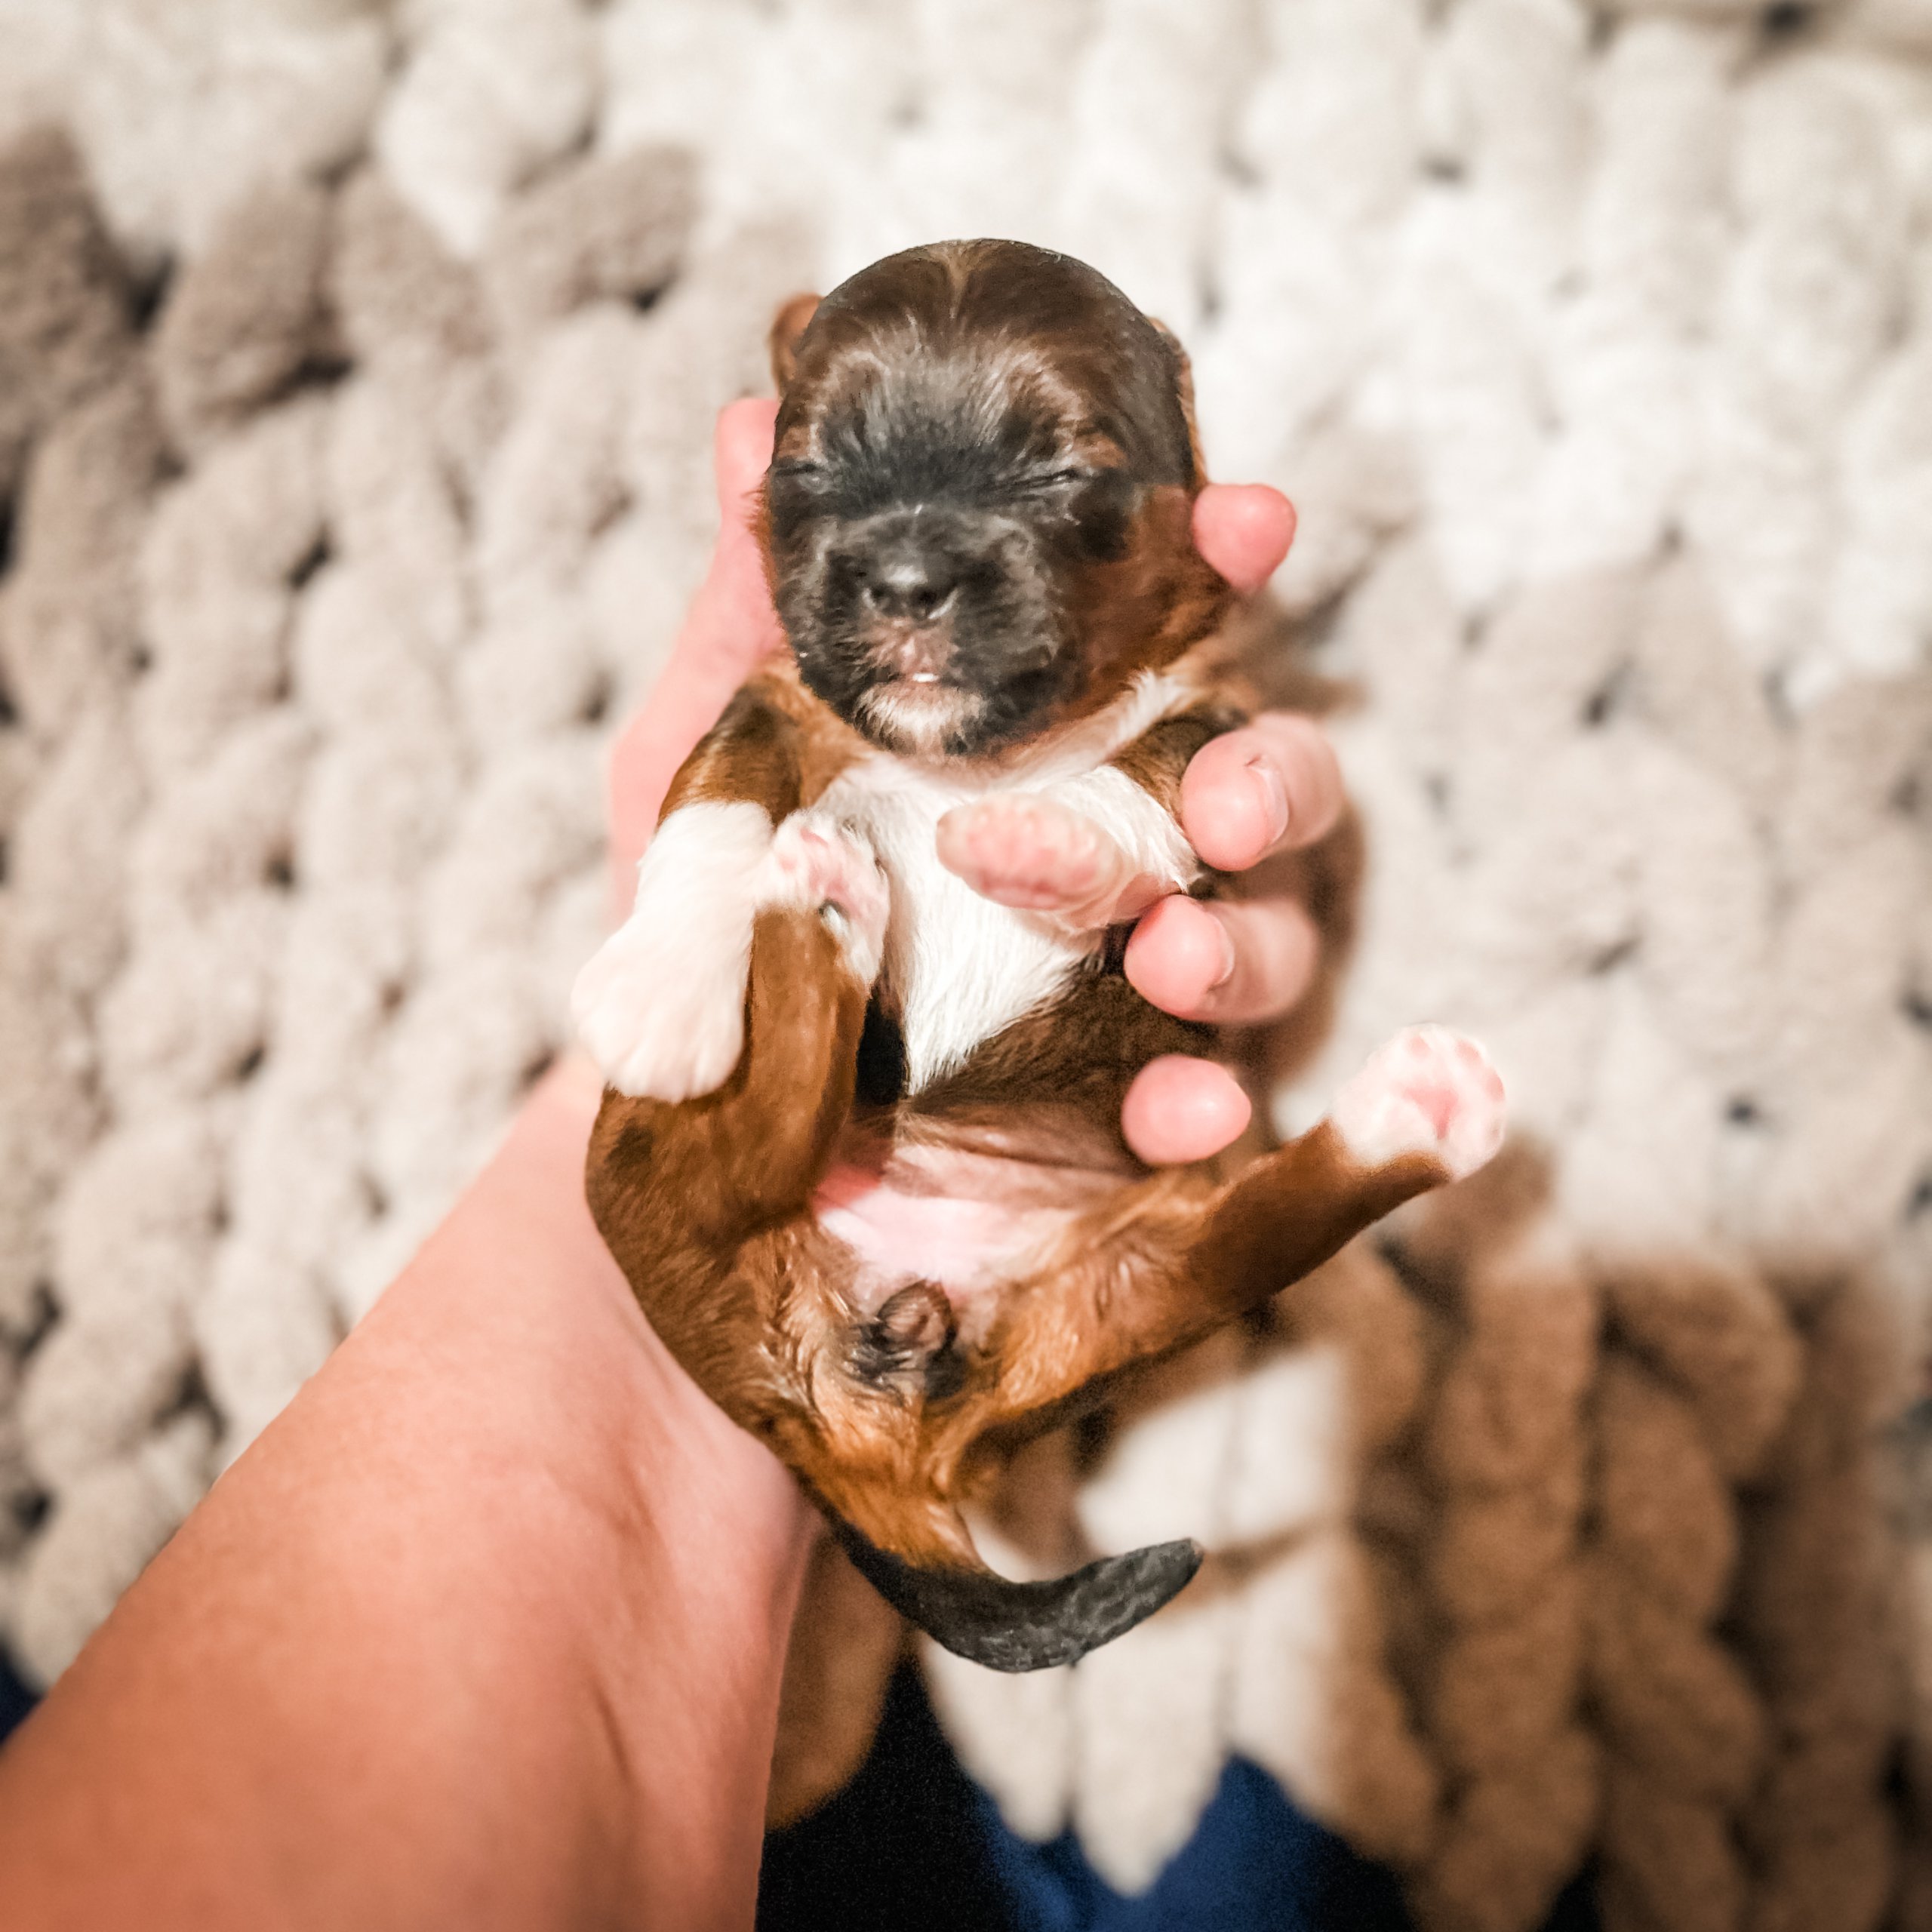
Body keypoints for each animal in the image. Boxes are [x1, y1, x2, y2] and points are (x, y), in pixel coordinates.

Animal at [564, 233, 1499, 1669]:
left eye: (1064, 471)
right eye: (810, 464)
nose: (906, 584)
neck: (971, 757)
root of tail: (848, 1424)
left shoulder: (1220, 715)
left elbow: (1155, 778)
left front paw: (1052, 842)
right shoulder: (767, 694)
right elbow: (714, 797)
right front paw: (665, 979)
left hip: (1126, 1289)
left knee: (1249, 1246)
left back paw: (1419, 1114)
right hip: (641, 1177)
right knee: (758, 1150)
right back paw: (818, 913)